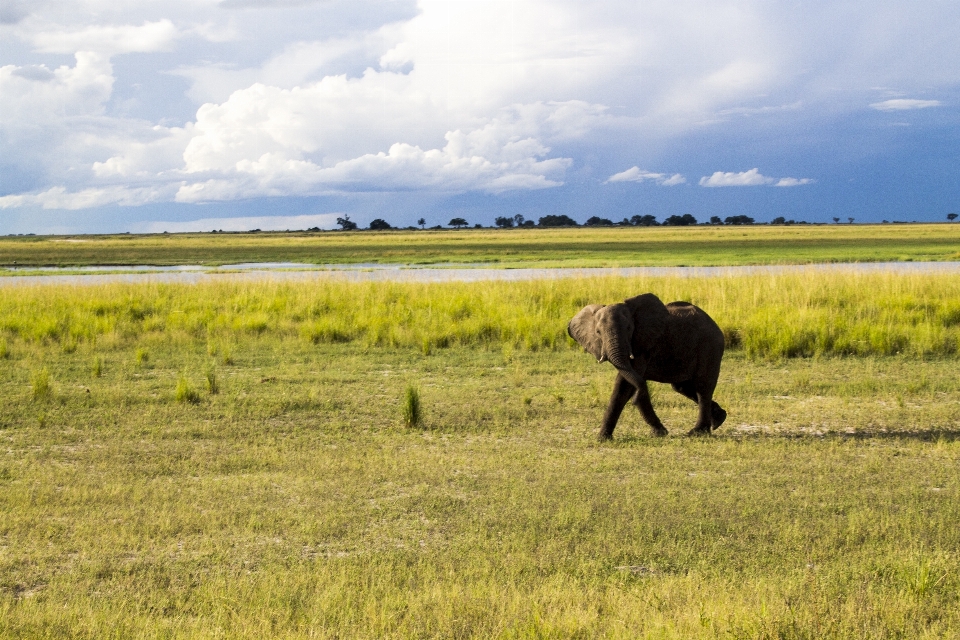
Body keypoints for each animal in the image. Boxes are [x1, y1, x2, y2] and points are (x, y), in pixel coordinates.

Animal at [568, 294, 724, 440]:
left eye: (629, 328)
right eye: (598, 332)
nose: (636, 398)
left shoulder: (642, 347)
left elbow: (623, 385)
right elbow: (625, 383)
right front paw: (603, 438)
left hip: (710, 346)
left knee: (703, 387)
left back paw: (698, 432)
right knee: (682, 387)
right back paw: (719, 419)